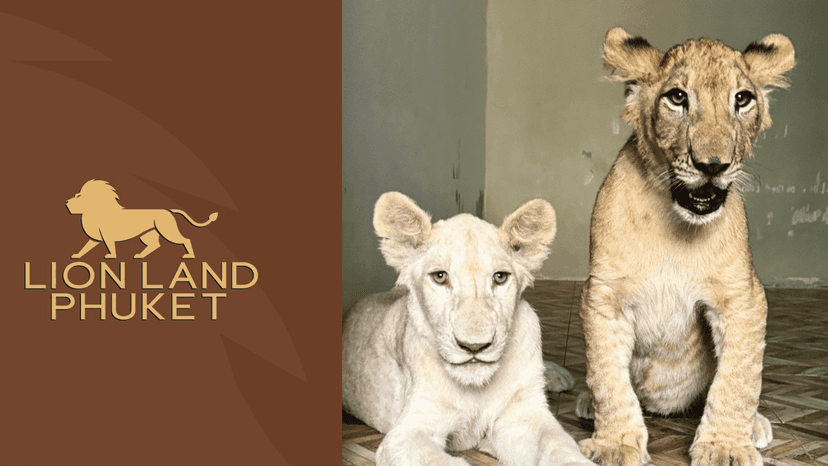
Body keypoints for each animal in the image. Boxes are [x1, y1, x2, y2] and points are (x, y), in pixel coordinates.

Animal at [65, 179, 218, 259]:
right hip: (147, 235)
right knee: (155, 245)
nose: (66, 202)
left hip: (167, 231)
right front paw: (77, 256)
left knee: (186, 239)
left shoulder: (107, 236)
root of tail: (168, 210)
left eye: (79, 196)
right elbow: (85, 248)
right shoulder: (95, 238)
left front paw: (111, 256)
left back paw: (189, 256)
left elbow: (110, 247)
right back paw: (139, 256)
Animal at [342, 192, 591, 466]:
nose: (474, 346)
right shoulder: (408, 432)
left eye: (500, 277)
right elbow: (439, 460)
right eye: (440, 276)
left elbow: (559, 445)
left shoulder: (522, 417)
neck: (476, 390)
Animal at [575, 28, 795, 466]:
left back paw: (756, 424)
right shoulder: (604, 295)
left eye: (742, 99)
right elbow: (607, 378)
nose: (713, 165)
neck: (677, 229)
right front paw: (613, 445)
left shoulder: (742, 297)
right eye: (677, 98)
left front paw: (726, 446)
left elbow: (738, 377)